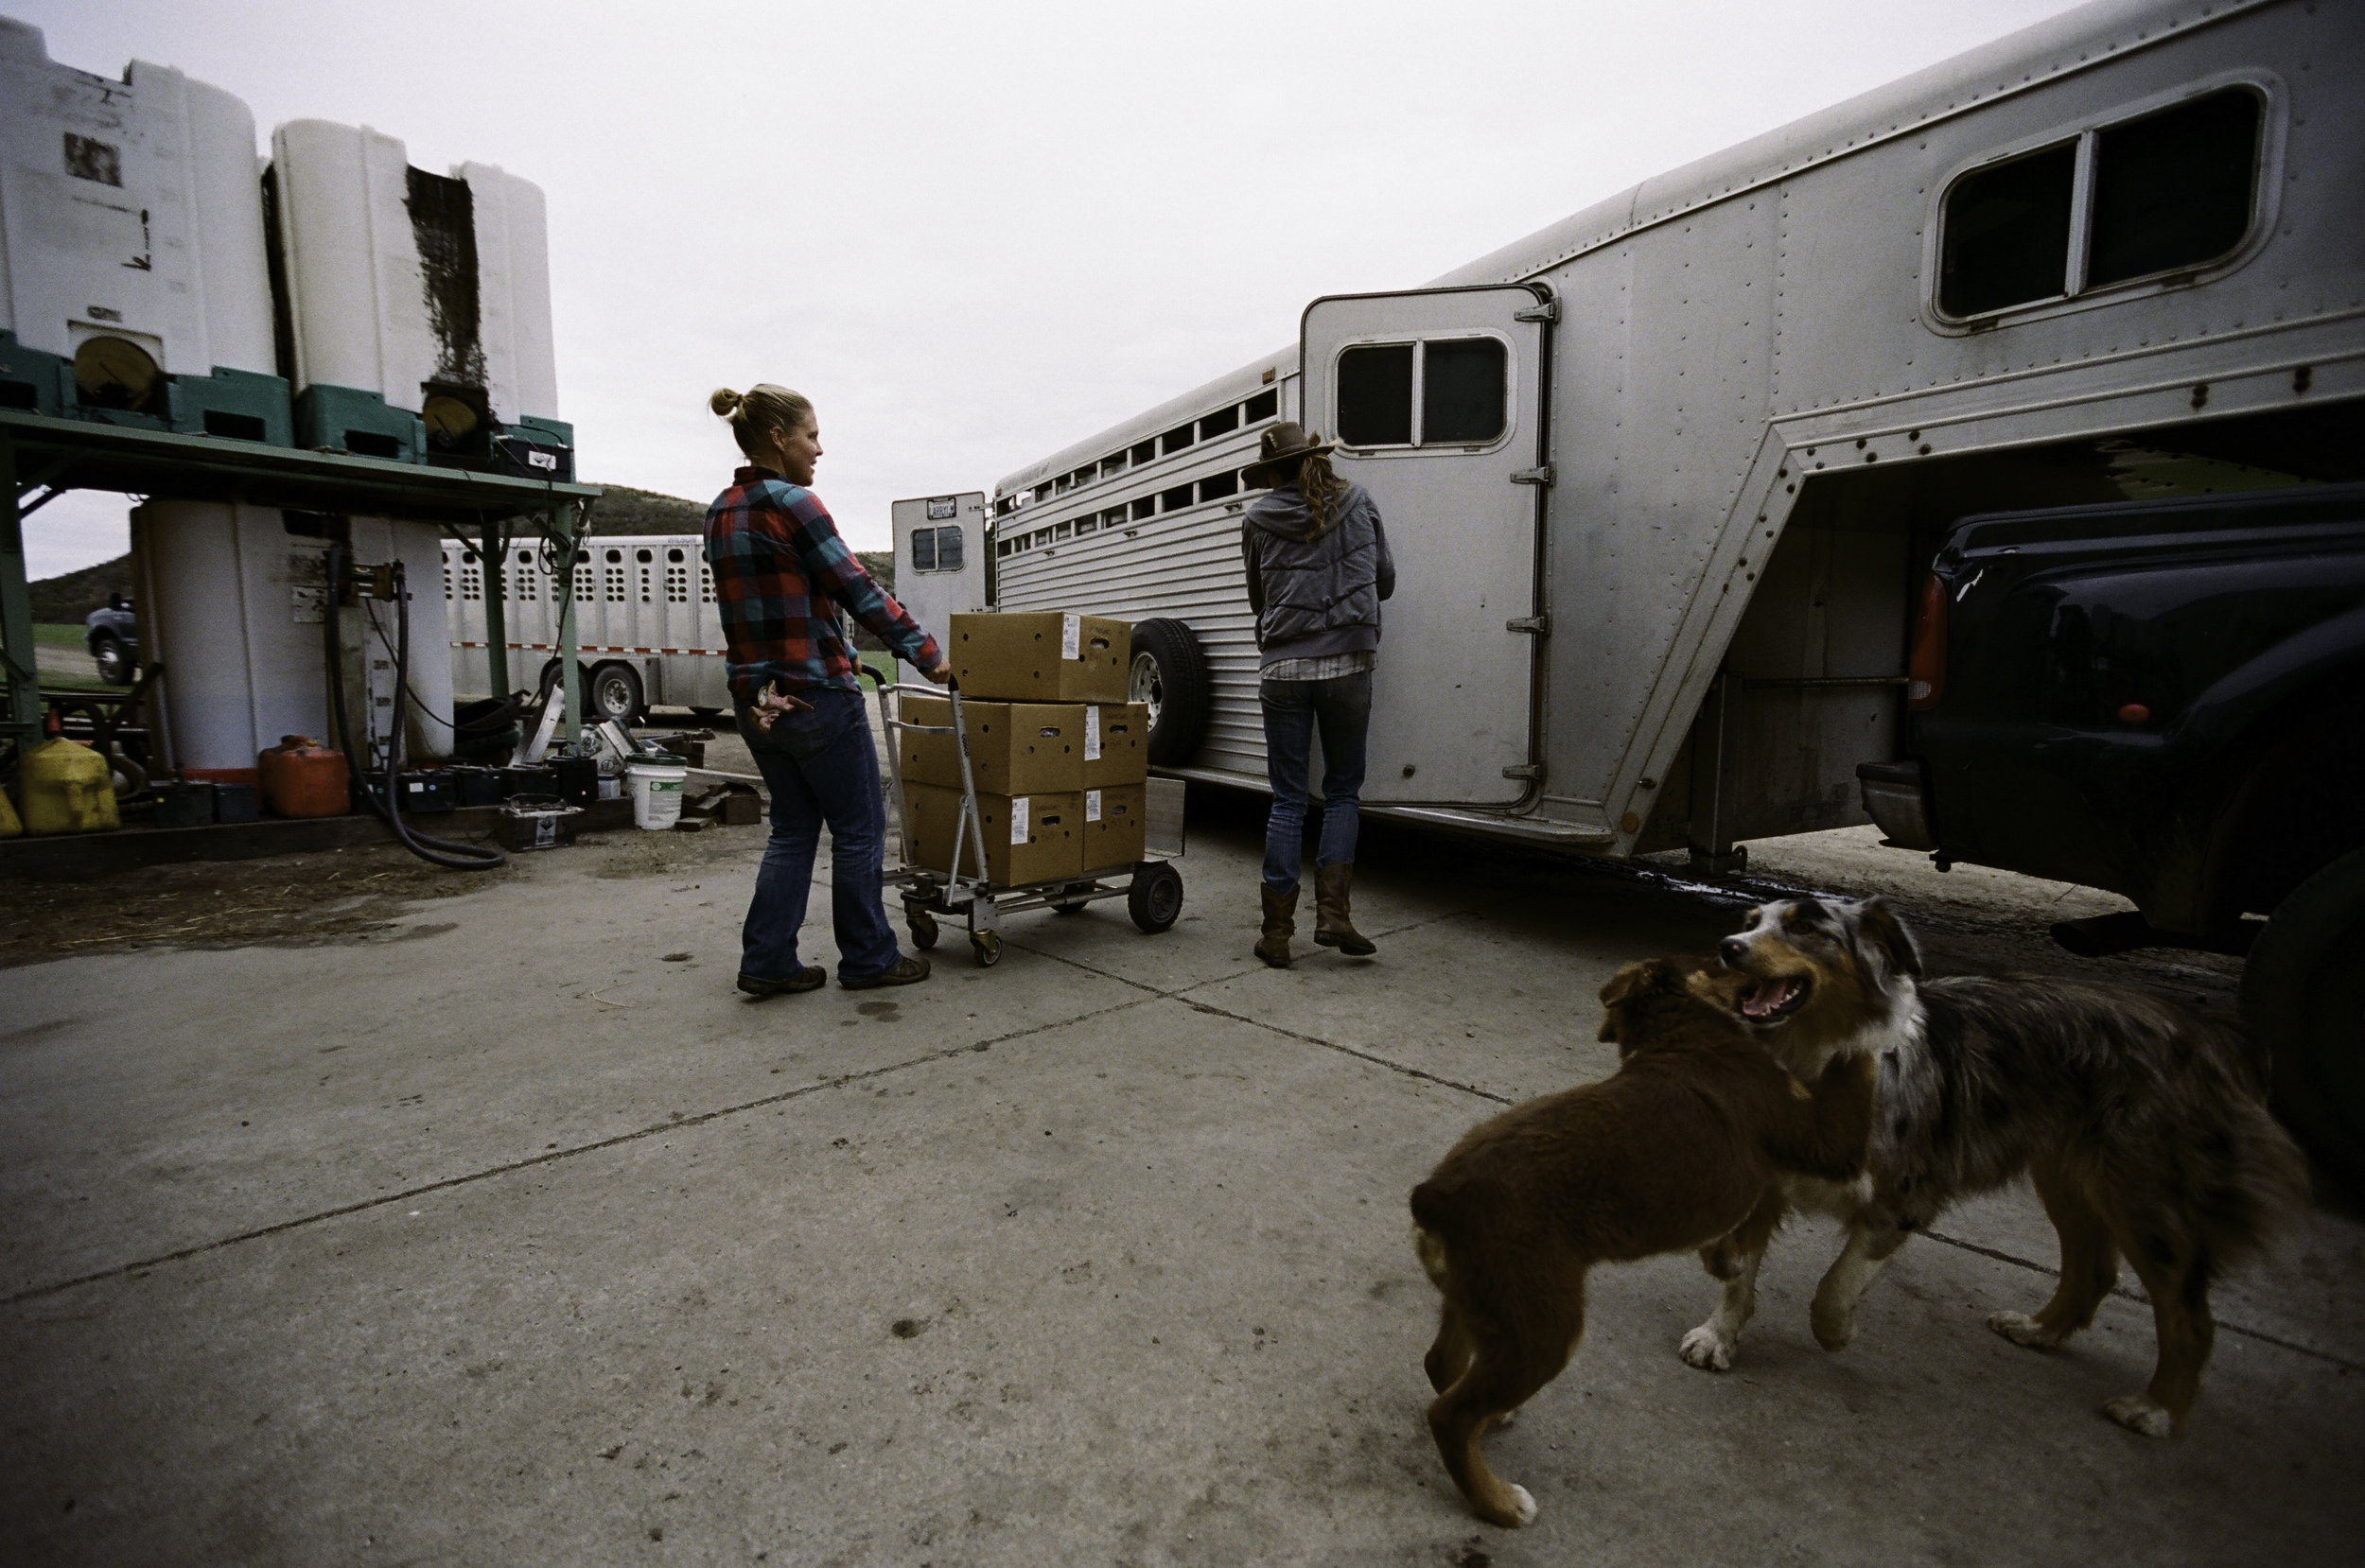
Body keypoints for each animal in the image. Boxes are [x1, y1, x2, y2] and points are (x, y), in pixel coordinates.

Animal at [1400, 950, 1883, 1523]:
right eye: (1717, 960)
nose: (1734, 947)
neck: (1679, 1033)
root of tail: (1438, 1195)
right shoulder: (1824, 1140)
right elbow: (1860, 1068)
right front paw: (1876, 1019)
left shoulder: (1755, 1183)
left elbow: (1734, 1236)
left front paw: (1726, 1261)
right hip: (1542, 1325)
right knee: (1449, 1416)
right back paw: (1498, 1502)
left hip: (1480, 1302)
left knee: (1442, 1365)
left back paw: (1493, 1423)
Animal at [1684, 894, 2308, 1437]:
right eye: (1751, 922)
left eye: (1805, 928)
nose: (1728, 947)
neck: (1816, 1060)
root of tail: (2211, 1033)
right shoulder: (1766, 1179)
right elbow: (1737, 1271)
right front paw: (1719, 1334)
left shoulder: (1904, 1197)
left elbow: (1835, 1286)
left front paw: (1836, 1332)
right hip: (2069, 1176)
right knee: (2093, 1268)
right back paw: (2039, 1330)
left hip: (2143, 1193)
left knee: (2189, 1315)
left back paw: (2156, 1411)